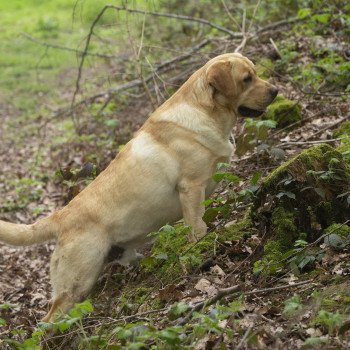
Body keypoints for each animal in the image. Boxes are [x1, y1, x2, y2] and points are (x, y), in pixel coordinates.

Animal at [0, 50, 278, 322]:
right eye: (246, 79)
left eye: (254, 73)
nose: (276, 90)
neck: (204, 112)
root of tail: (60, 216)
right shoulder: (191, 187)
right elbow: (198, 228)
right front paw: (201, 249)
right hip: (77, 281)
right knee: (47, 321)